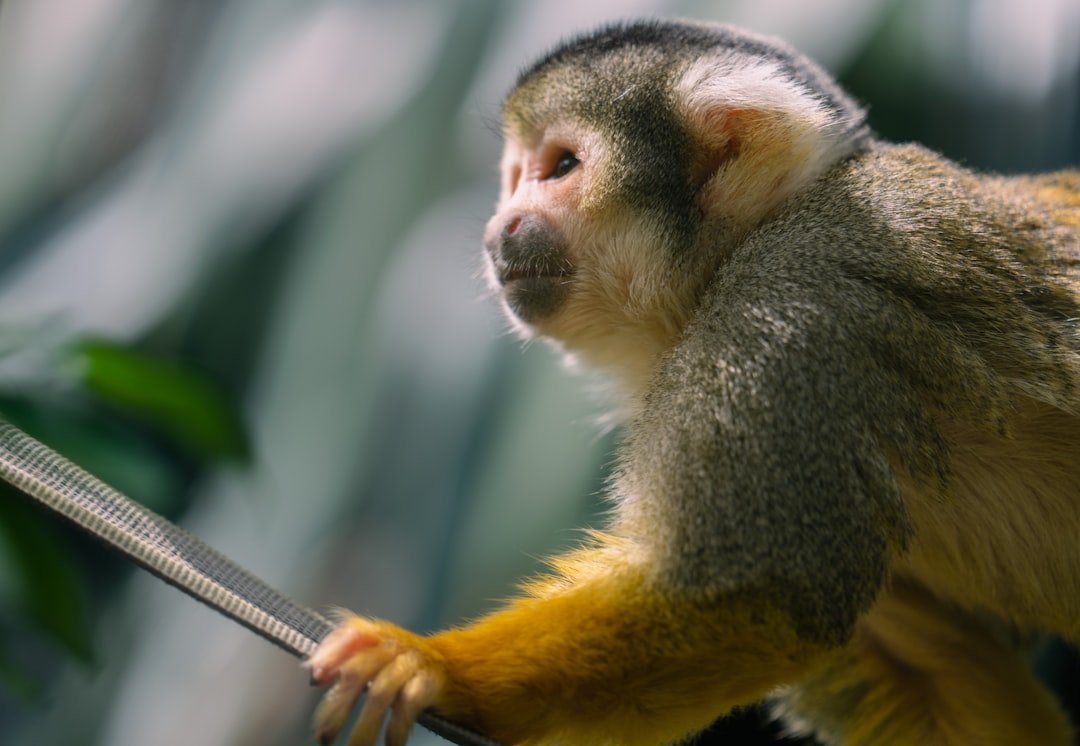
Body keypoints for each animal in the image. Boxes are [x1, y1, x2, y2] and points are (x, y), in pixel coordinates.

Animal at [306, 18, 1080, 746]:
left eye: (561, 166)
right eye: (515, 174)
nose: (502, 227)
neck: (747, 244)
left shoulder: (792, 317)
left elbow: (757, 598)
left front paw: (434, 667)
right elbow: (948, 670)